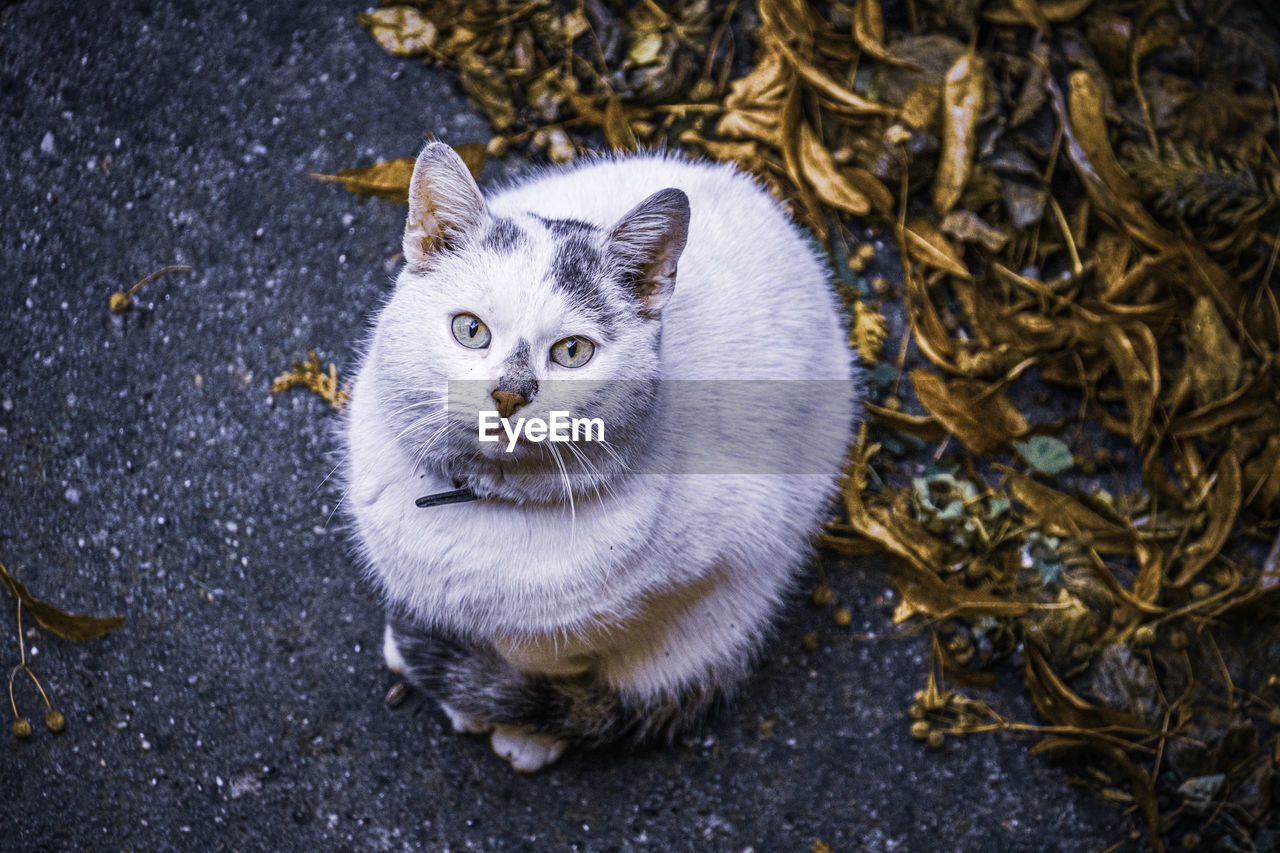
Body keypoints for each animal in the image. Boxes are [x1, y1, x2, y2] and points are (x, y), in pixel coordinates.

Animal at [343, 140, 860, 768]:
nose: (509, 394)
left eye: (572, 351)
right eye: (470, 330)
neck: (482, 505)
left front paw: (523, 728)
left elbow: (551, 665)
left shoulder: (699, 565)